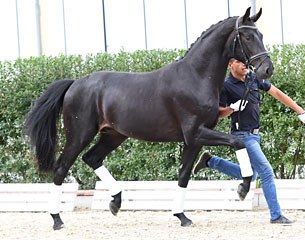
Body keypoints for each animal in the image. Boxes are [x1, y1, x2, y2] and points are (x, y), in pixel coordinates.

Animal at [26, 7, 272, 229]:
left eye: (261, 35)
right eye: (247, 36)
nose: (267, 70)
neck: (196, 77)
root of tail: (75, 83)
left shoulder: (193, 141)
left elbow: (183, 175)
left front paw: (182, 217)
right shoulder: (196, 133)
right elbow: (237, 141)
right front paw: (243, 188)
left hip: (113, 135)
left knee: (92, 158)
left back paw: (116, 201)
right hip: (79, 135)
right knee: (61, 168)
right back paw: (57, 220)